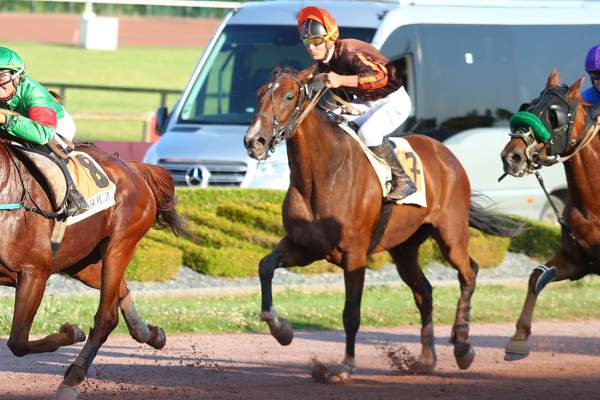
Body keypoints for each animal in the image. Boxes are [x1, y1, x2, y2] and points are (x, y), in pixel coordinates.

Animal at [0, 139, 186, 398]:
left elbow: (17, 342)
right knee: (121, 290)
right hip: (79, 261)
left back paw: (72, 380)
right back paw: (151, 334)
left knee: (106, 318)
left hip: (119, 246)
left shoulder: (33, 272)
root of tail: (130, 167)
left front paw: (71, 332)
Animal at [244, 69, 520, 382]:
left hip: (451, 233)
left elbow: (351, 313)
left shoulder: (354, 255)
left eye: (289, 96)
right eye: (259, 94)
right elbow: (265, 267)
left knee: (468, 272)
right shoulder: (304, 247)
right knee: (424, 292)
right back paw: (426, 359)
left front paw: (345, 367)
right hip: (404, 247)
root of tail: (446, 154)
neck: (323, 173)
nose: (254, 141)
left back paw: (462, 346)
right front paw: (282, 331)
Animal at [502, 70, 600, 360]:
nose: (511, 156)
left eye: (553, 115)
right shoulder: (577, 260)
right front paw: (519, 337)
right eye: (528, 107)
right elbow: (537, 276)